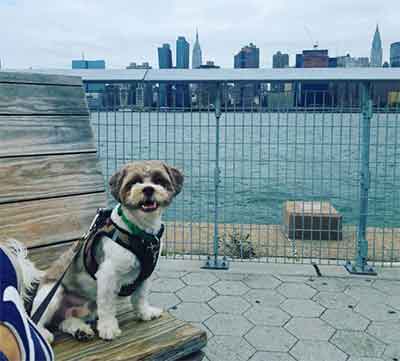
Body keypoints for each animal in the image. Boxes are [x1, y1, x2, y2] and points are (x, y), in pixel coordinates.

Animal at [32, 160, 184, 340]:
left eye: (159, 180)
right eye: (133, 182)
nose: (148, 189)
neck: (139, 232)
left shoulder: (145, 275)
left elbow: (140, 297)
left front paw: (145, 313)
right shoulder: (107, 275)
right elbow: (107, 305)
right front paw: (108, 328)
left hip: (85, 307)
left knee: (66, 320)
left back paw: (79, 330)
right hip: (52, 293)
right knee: (37, 318)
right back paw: (42, 333)